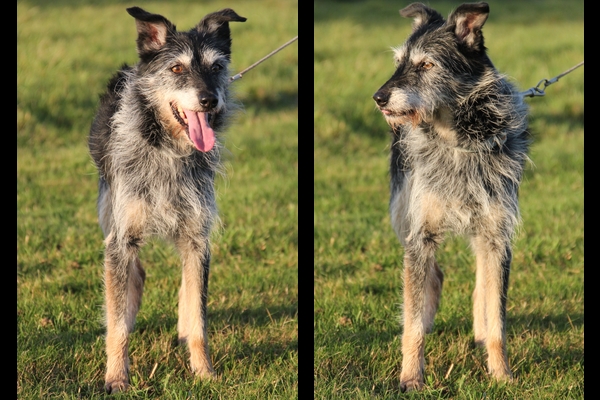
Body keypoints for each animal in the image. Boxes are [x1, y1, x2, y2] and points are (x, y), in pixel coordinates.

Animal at [88, 6, 246, 394]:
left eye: (216, 67)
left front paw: (204, 372)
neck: (169, 151)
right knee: (133, 277)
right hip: (110, 215)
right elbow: (117, 321)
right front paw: (116, 377)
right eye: (176, 69)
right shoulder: (121, 238)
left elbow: (199, 314)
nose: (209, 100)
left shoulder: (197, 238)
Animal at [372, 1, 532, 392]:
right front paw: (411, 377)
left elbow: (497, 316)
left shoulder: (498, 235)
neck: (460, 141)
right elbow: (413, 321)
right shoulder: (421, 235)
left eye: (427, 64)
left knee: (480, 282)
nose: (378, 98)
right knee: (430, 278)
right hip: (403, 216)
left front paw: (501, 373)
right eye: (399, 61)